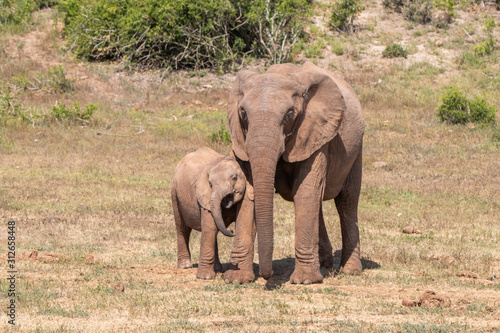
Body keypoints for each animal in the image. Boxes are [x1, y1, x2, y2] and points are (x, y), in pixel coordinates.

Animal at [172, 147, 246, 278]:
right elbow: (209, 227)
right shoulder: (205, 197)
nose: (232, 231)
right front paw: (205, 277)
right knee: (182, 228)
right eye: (210, 184)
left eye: (234, 178)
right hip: (174, 193)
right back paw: (185, 266)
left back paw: (217, 268)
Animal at [223, 61, 364, 282]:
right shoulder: (241, 139)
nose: (267, 276)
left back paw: (350, 270)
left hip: (356, 149)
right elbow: (248, 192)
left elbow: (306, 191)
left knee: (347, 201)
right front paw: (236, 279)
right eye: (243, 113)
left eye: (290, 115)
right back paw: (324, 264)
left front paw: (305, 280)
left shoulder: (315, 133)